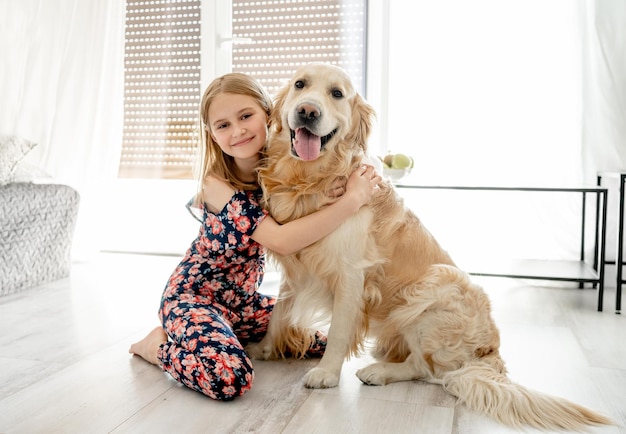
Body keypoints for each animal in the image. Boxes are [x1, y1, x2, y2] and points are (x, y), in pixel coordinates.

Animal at [246, 62, 612, 430]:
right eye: (300, 85)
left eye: (337, 93)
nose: (307, 111)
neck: (311, 179)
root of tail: (490, 352)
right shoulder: (297, 267)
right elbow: (279, 314)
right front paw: (263, 350)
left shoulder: (351, 275)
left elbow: (337, 332)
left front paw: (326, 373)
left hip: (435, 287)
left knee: (429, 371)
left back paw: (378, 371)